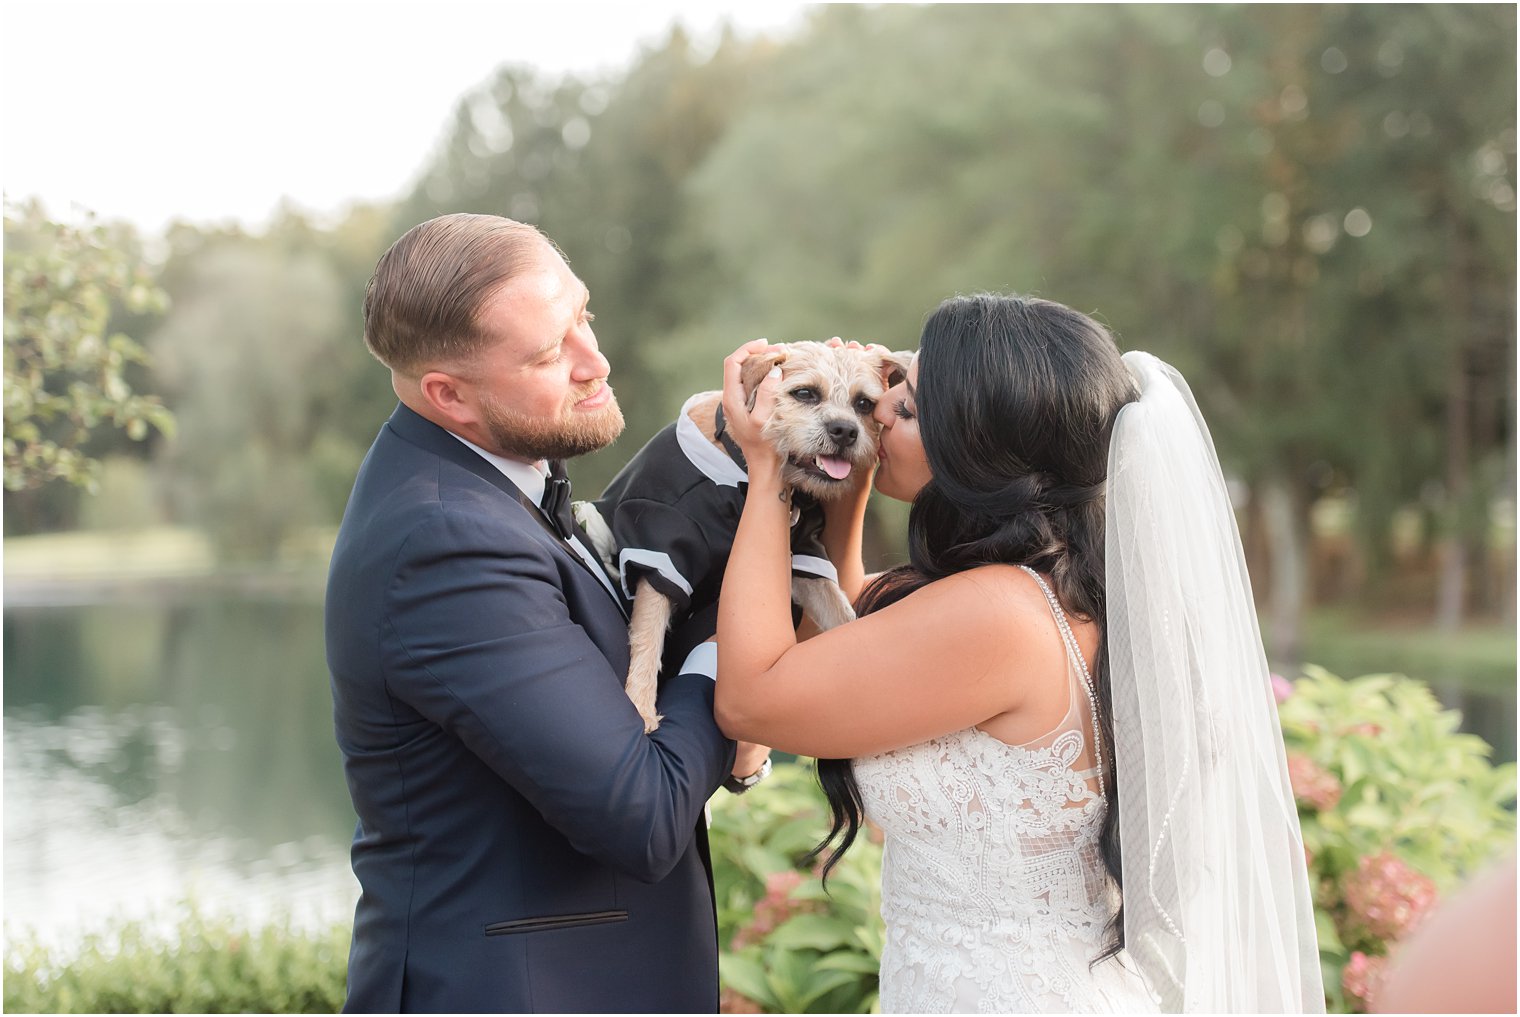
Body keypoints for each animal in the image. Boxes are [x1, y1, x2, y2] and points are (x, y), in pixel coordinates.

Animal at [574, 340, 912, 729]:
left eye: (864, 404)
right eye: (805, 393)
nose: (845, 430)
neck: (741, 474)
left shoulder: (805, 558)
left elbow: (842, 616)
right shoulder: (662, 552)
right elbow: (647, 637)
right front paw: (641, 709)